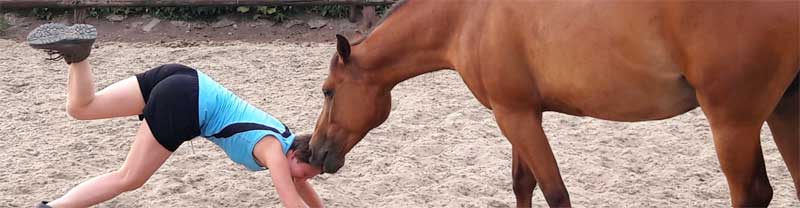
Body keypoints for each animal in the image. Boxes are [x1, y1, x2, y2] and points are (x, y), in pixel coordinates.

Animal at [304, 0, 792, 206]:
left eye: (328, 91)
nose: (313, 151)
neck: (468, 17)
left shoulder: (517, 118)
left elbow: (555, 192)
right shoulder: (517, 114)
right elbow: (524, 184)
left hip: (733, 124)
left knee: (751, 193)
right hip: (785, 112)